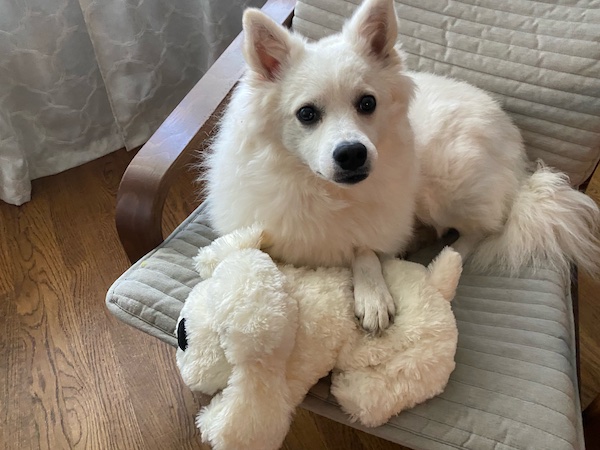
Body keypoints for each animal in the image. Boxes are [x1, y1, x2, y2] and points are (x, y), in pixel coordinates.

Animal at [203, 0, 600, 334]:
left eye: (367, 103)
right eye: (307, 114)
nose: (352, 154)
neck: (325, 191)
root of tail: (520, 161)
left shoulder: (376, 227)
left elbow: (365, 250)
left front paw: (373, 294)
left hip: (449, 184)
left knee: (481, 229)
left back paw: (444, 254)